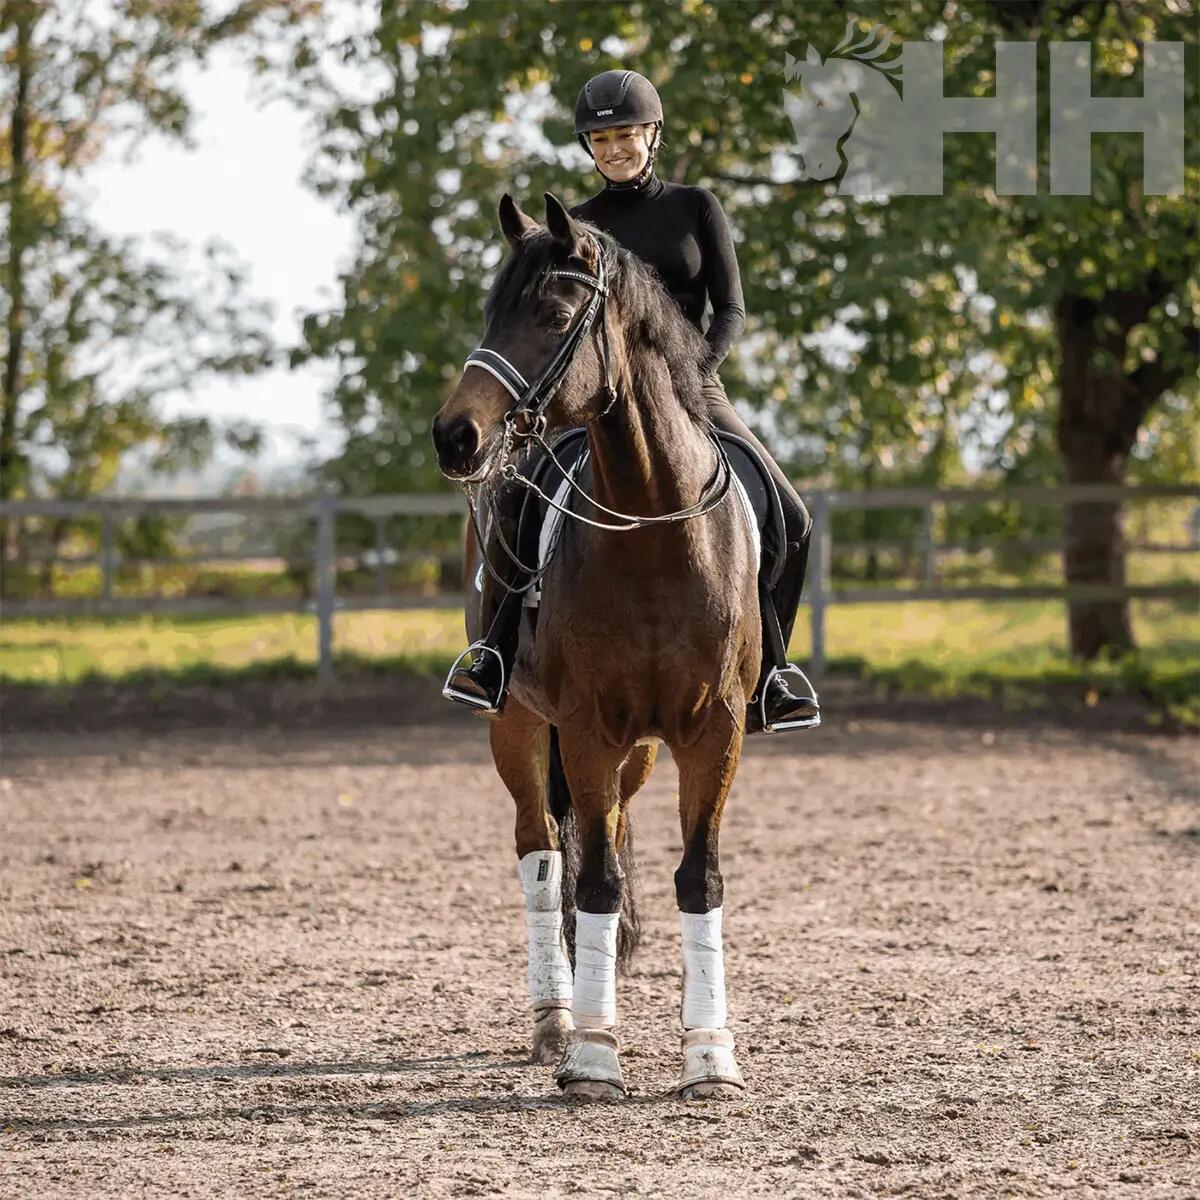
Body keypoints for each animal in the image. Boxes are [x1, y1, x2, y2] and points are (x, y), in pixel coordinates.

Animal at [431, 191, 761, 1101]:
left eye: (551, 315)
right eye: (490, 312)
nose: (454, 437)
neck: (652, 527)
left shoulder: (712, 732)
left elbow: (696, 875)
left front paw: (709, 1056)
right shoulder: (582, 728)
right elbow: (596, 879)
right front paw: (592, 1056)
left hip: (639, 752)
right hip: (515, 723)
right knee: (543, 853)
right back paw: (555, 1018)